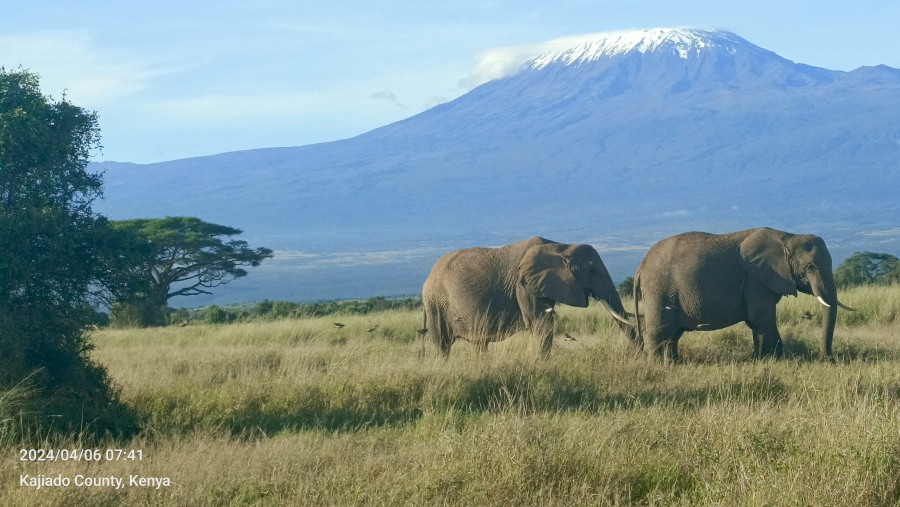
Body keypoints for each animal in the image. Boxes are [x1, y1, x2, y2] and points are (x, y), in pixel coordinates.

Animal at [420, 235, 632, 358]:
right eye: (592, 270)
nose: (637, 356)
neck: (560, 246)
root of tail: (427, 278)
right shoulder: (523, 285)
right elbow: (540, 324)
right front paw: (540, 365)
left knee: (479, 344)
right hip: (435, 303)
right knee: (442, 345)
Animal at [632, 226, 852, 362]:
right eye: (810, 267)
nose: (829, 359)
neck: (788, 237)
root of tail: (639, 269)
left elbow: (762, 321)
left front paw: (778, 358)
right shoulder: (755, 280)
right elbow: (762, 320)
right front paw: (764, 361)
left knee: (673, 335)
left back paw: (673, 363)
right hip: (658, 289)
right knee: (661, 331)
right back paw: (658, 366)